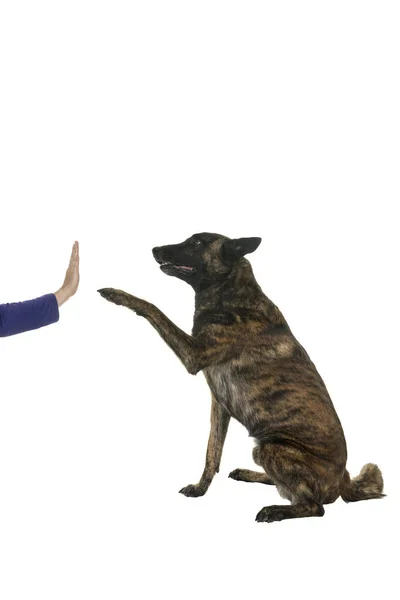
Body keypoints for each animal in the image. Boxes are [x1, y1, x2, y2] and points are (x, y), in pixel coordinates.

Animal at [97, 232, 384, 524]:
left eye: (197, 242)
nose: (155, 249)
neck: (229, 293)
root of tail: (344, 479)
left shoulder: (193, 354)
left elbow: (153, 308)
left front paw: (118, 295)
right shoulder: (219, 405)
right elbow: (212, 453)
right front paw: (200, 488)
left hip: (272, 447)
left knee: (314, 506)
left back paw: (276, 510)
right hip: (261, 449)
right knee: (284, 486)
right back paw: (249, 474)